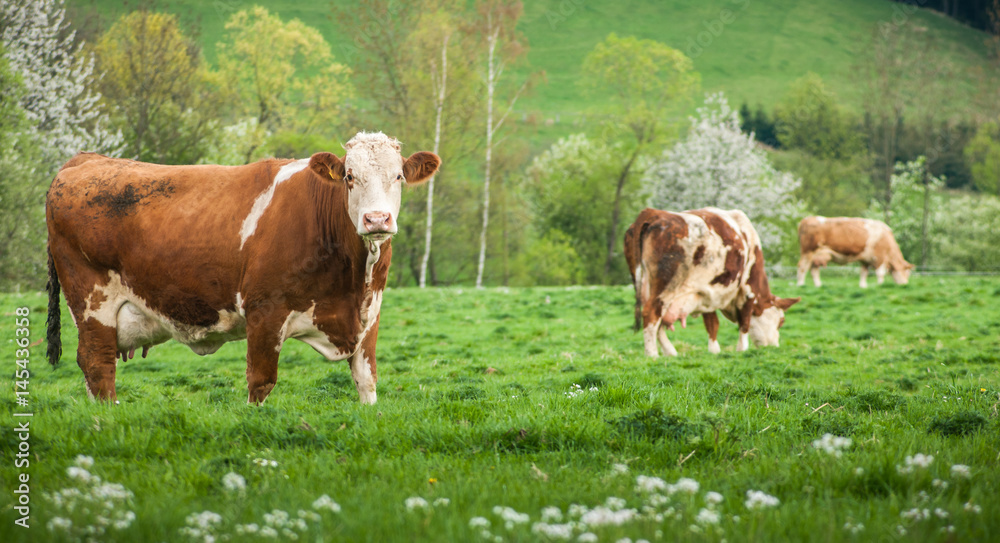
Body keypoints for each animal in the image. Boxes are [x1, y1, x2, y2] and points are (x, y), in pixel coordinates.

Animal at [46, 131, 438, 404]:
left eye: (399, 177)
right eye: (350, 177)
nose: (377, 219)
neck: (352, 283)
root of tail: (84, 160)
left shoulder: (368, 315)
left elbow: (367, 382)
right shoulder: (265, 311)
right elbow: (260, 383)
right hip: (92, 302)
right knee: (97, 365)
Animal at [620, 207, 800, 356]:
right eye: (781, 321)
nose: (773, 346)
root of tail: (653, 212)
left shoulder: (706, 292)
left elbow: (712, 323)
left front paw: (714, 350)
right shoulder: (748, 290)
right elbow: (745, 323)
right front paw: (741, 349)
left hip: (643, 284)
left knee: (656, 321)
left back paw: (670, 352)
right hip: (665, 288)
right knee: (651, 313)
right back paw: (652, 355)